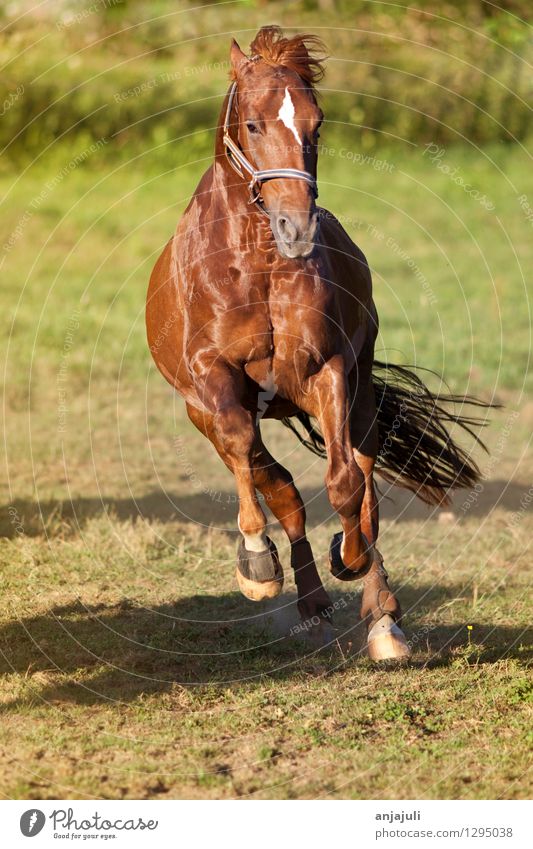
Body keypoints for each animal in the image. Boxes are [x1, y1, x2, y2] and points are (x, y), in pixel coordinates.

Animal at [147, 26, 486, 664]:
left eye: (317, 123)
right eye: (253, 124)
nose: (297, 228)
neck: (255, 262)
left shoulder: (325, 370)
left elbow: (346, 484)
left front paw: (350, 563)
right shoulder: (212, 379)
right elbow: (255, 462)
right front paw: (257, 566)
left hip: (355, 395)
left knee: (362, 474)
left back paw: (379, 614)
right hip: (204, 410)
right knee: (276, 484)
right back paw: (309, 604)